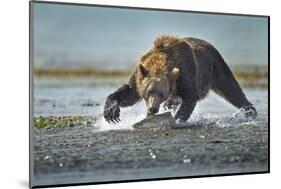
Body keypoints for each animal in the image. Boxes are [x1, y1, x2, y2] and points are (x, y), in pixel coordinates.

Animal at [102, 35, 256, 124]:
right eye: (149, 91)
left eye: (161, 94)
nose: (153, 108)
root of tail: (209, 44)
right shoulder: (139, 75)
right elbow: (129, 93)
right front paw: (111, 112)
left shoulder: (185, 73)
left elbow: (191, 95)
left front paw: (176, 119)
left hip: (216, 67)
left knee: (231, 90)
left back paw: (250, 111)